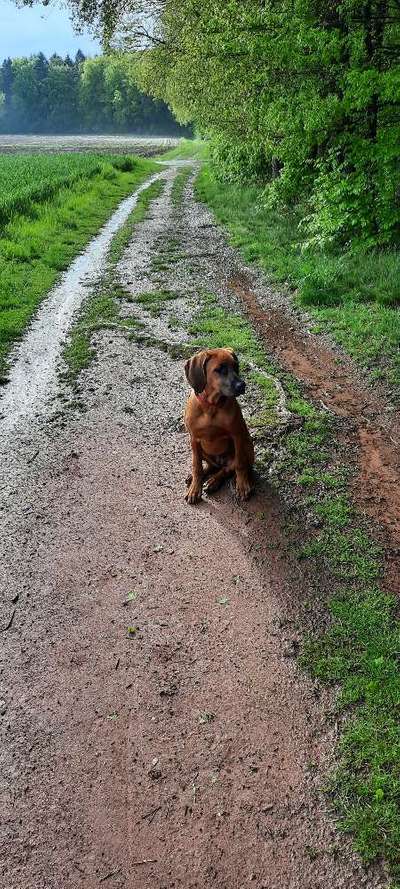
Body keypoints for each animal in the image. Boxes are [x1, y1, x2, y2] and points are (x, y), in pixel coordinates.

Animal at [184, 346, 253, 502]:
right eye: (219, 369)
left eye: (236, 366)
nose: (242, 385)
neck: (211, 407)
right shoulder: (194, 439)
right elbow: (196, 465)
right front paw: (195, 488)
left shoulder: (237, 435)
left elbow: (240, 465)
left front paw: (242, 485)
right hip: (201, 450)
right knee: (211, 465)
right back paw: (199, 477)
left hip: (247, 445)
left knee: (228, 469)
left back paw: (214, 481)